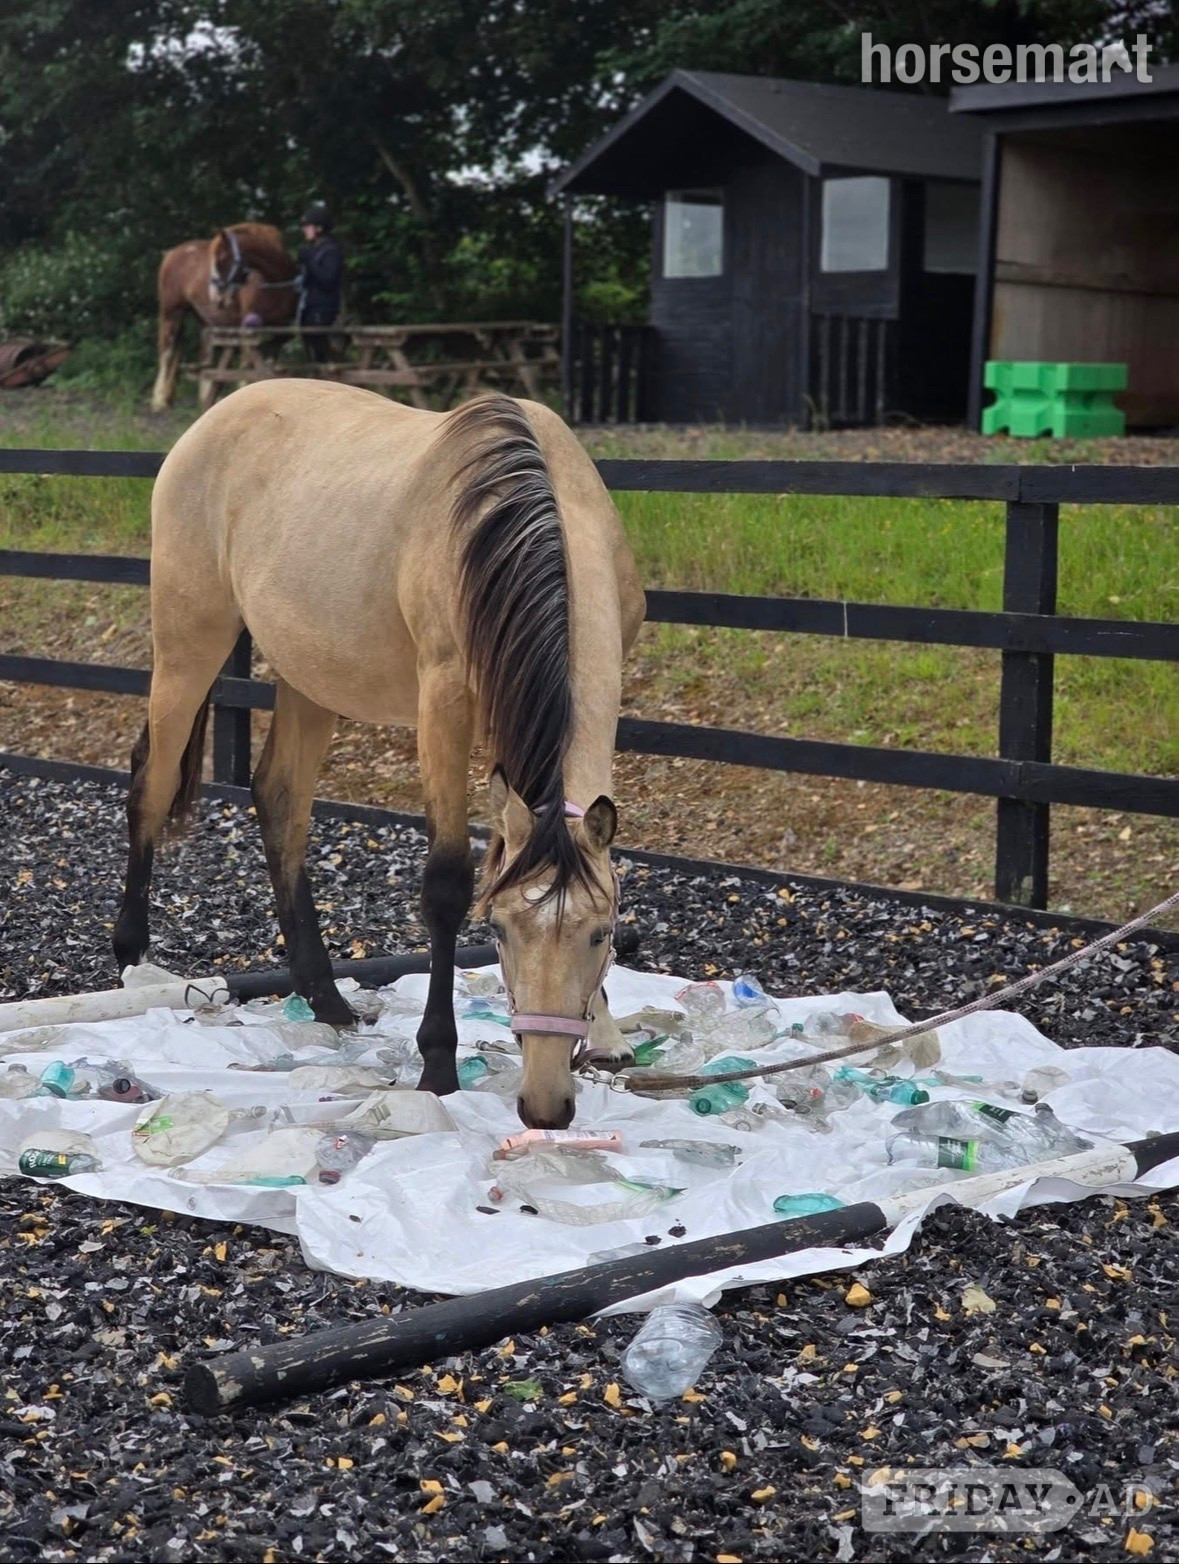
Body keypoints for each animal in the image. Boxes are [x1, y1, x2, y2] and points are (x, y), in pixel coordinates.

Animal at [113, 381, 647, 1129]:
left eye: (600, 936)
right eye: (499, 932)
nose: (545, 1106)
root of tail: (215, 417)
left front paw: (606, 1033)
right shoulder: (443, 704)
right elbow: (447, 885)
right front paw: (438, 1063)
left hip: (308, 675)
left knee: (280, 800)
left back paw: (327, 996)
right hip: (190, 641)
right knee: (153, 783)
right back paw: (131, 958)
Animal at [151, 223, 299, 413]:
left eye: (221, 259)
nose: (215, 295)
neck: (273, 283)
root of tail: (172, 253)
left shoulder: (281, 326)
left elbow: (272, 352)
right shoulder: (247, 328)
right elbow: (246, 363)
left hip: (204, 320)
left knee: (204, 354)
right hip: (171, 313)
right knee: (166, 353)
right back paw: (160, 400)